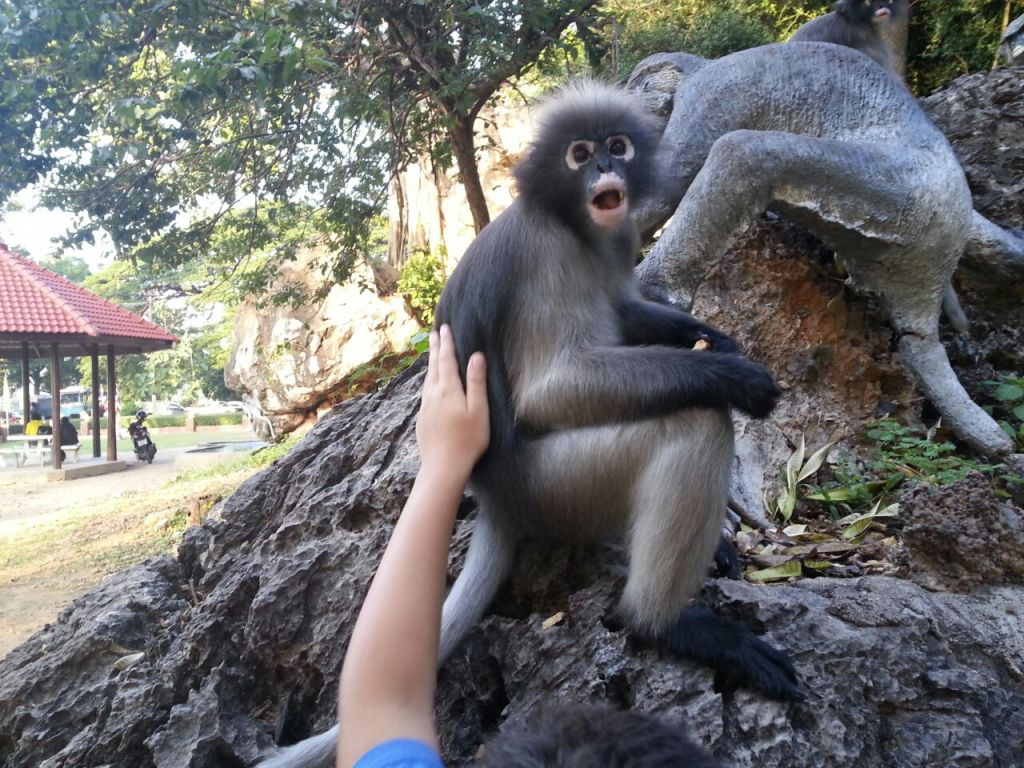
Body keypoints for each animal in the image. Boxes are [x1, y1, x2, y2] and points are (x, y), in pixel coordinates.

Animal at [260, 81, 794, 765]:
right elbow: (550, 391)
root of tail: (495, 498)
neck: (574, 224)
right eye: (580, 154)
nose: (605, 169)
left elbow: (625, 306)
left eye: (617, 146)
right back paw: (665, 623)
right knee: (693, 423)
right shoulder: (548, 255)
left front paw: (715, 340)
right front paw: (734, 376)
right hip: (557, 487)